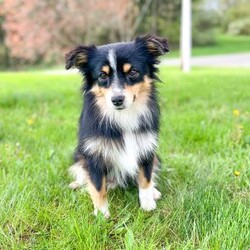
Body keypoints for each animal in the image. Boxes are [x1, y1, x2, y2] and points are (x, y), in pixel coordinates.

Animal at [65, 34, 169, 218]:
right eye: (102, 76)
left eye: (133, 72)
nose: (117, 100)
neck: (122, 116)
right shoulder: (94, 153)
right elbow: (97, 186)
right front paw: (101, 213)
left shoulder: (146, 147)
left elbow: (145, 177)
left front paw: (147, 203)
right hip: (79, 154)